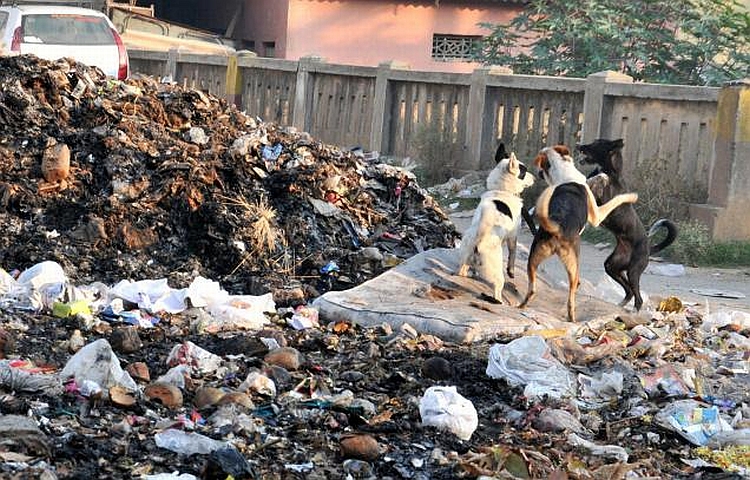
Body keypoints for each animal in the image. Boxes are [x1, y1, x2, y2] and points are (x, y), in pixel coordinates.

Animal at [456, 145, 536, 304]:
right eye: (524, 172)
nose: (535, 178)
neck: (501, 190)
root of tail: (478, 240)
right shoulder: (513, 236)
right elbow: (513, 253)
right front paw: (511, 271)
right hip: (496, 273)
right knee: (497, 290)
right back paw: (499, 301)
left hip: (464, 258)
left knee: (461, 271)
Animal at [524, 144, 640, 320]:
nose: (537, 173)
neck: (563, 174)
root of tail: (557, 227)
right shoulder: (597, 216)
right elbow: (614, 199)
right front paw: (628, 194)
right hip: (574, 265)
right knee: (572, 295)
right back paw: (572, 317)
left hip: (532, 260)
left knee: (532, 290)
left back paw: (520, 305)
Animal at [576, 139, 680, 312]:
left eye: (596, 144)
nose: (578, 145)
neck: (611, 171)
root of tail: (648, 247)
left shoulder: (603, 202)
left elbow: (599, 181)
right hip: (612, 266)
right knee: (629, 291)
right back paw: (621, 306)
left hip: (633, 271)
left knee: (638, 297)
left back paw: (634, 312)